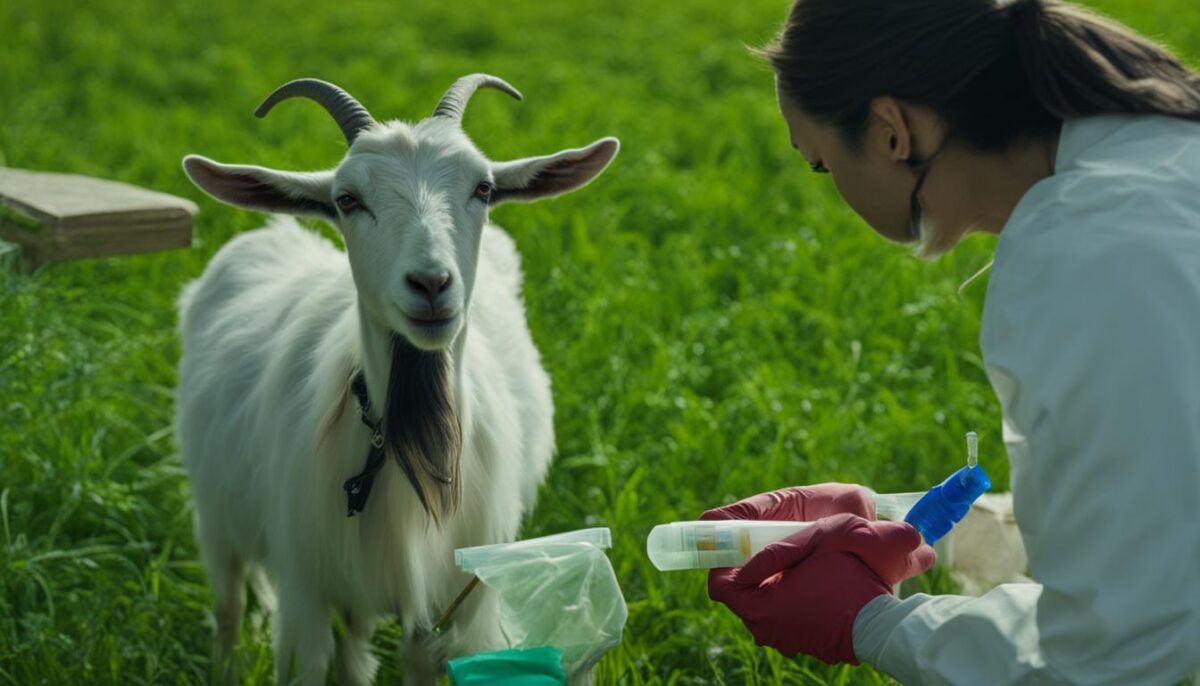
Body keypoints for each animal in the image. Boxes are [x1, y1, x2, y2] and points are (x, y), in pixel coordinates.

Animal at [175, 75, 619, 685]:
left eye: (483, 188)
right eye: (347, 199)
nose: (431, 284)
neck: (406, 442)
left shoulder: (454, 594)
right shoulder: (305, 583)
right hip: (216, 518)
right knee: (229, 609)